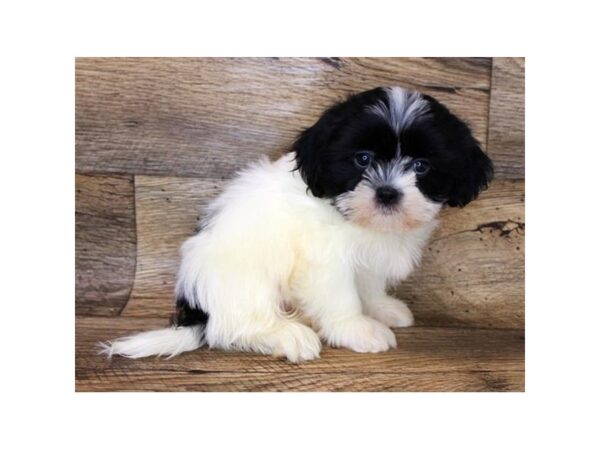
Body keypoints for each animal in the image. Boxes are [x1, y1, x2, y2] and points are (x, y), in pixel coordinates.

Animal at [103, 87, 494, 362]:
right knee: (233, 326)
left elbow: (367, 284)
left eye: (422, 167)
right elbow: (341, 295)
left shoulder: (366, 256)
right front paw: (357, 328)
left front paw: (381, 307)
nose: (387, 192)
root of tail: (198, 309)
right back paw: (285, 334)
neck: (352, 217)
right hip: (243, 279)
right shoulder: (325, 260)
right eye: (362, 159)